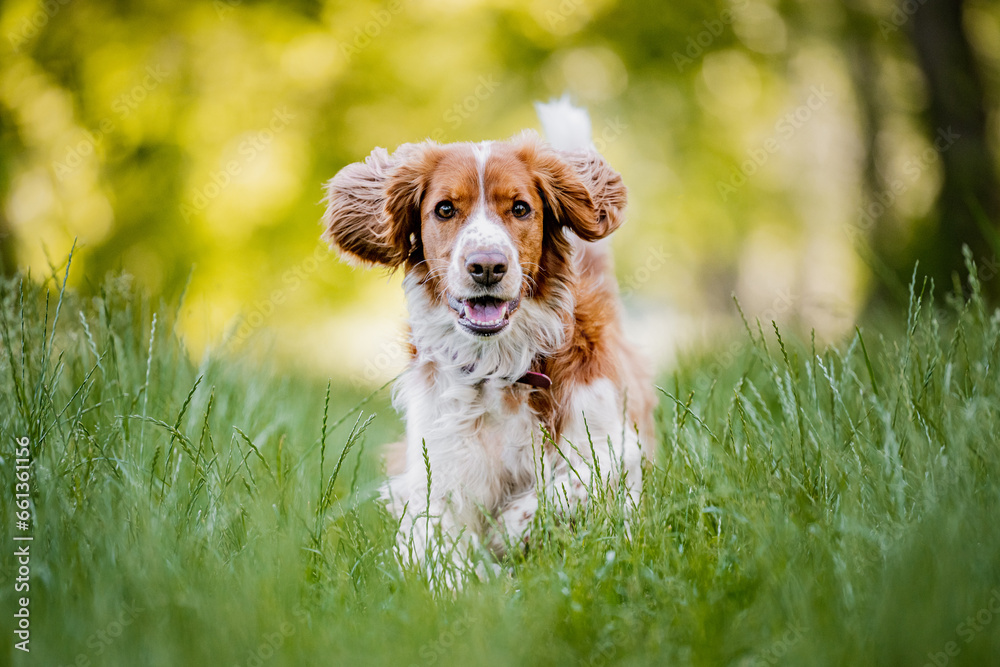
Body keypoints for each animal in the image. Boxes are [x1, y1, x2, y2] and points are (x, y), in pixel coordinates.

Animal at [322, 99, 656, 576]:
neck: (497, 364)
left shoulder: (614, 443)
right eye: (445, 209)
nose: (487, 266)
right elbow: (440, 551)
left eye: (520, 208)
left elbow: (569, 487)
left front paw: (507, 534)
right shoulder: (435, 471)